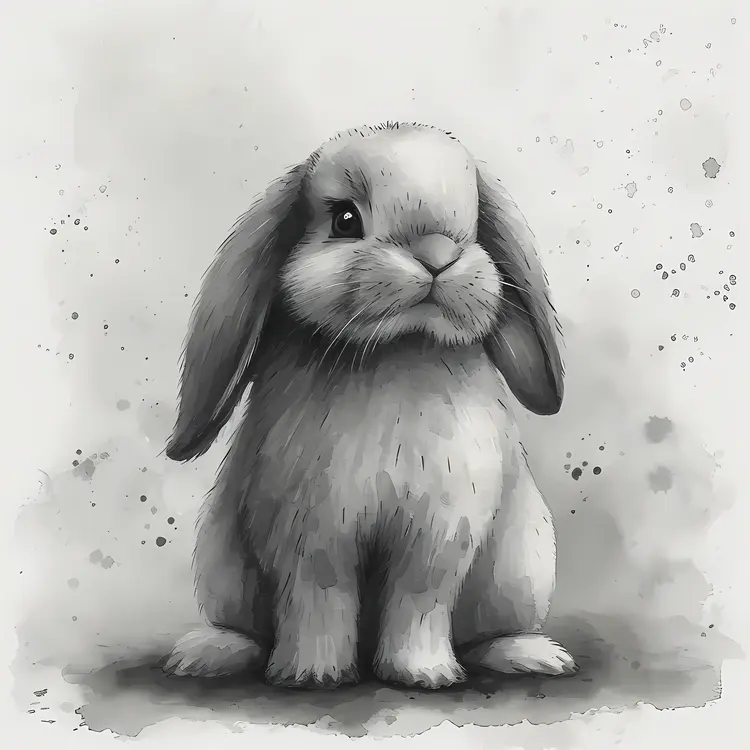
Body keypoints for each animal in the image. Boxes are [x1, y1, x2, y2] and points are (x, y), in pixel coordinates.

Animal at [161, 122, 577, 690]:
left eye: (472, 224)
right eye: (345, 219)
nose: (437, 254)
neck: (398, 349)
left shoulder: (438, 533)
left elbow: (418, 599)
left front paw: (423, 674)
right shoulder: (309, 533)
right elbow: (319, 598)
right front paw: (312, 675)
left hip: (520, 572)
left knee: (489, 633)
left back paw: (531, 656)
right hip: (221, 568)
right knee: (244, 628)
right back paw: (207, 653)